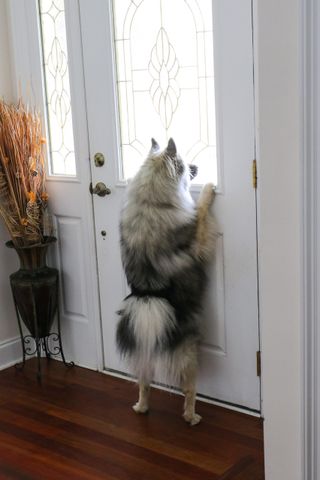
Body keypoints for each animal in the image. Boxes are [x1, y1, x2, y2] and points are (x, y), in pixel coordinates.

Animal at [117, 137, 218, 426]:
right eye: (184, 162)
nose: (197, 167)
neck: (152, 201)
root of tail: (150, 299)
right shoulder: (197, 240)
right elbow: (201, 211)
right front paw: (208, 190)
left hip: (142, 352)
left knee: (144, 382)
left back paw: (141, 407)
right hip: (190, 354)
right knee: (189, 389)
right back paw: (191, 416)